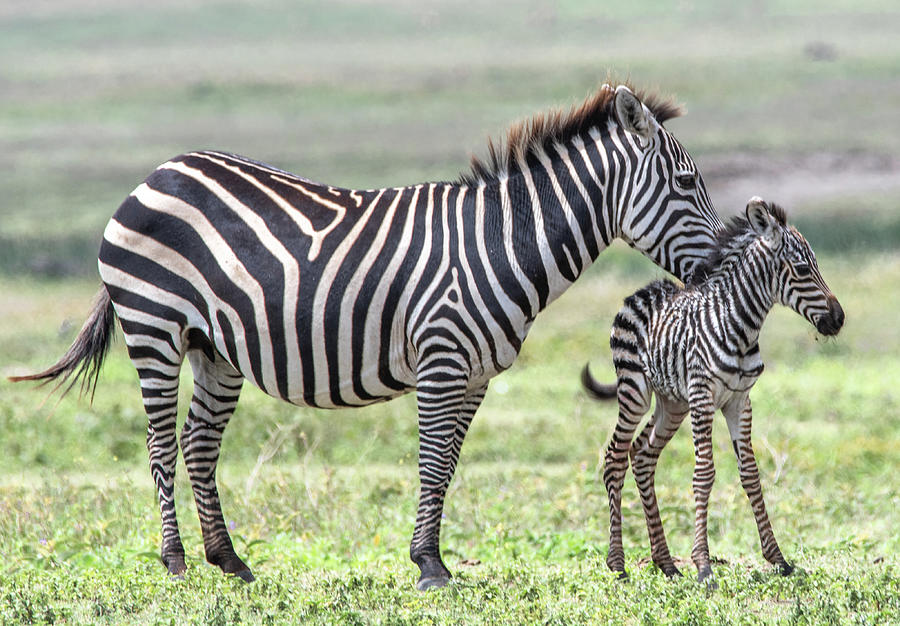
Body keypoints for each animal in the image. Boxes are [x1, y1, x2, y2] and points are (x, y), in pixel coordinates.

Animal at [12, 83, 724, 590]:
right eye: (688, 183)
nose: (723, 261)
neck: (500, 243)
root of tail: (156, 174)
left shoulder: (474, 376)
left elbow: (448, 466)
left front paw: (432, 558)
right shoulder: (441, 359)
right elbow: (432, 462)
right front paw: (430, 567)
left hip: (214, 349)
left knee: (198, 445)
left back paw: (229, 560)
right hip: (153, 327)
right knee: (161, 444)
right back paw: (176, 560)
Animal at [582, 197, 844, 587]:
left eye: (816, 265)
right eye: (800, 269)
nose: (839, 319)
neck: (741, 326)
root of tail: (642, 291)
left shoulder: (739, 400)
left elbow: (750, 473)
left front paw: (778, 558)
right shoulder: (703, 395)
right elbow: (704, 474)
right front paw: (703, 566)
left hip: (672, 403)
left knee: (642, 455)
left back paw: (666, 563)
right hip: (635, 391)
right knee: (615, 456)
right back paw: (617, 563)